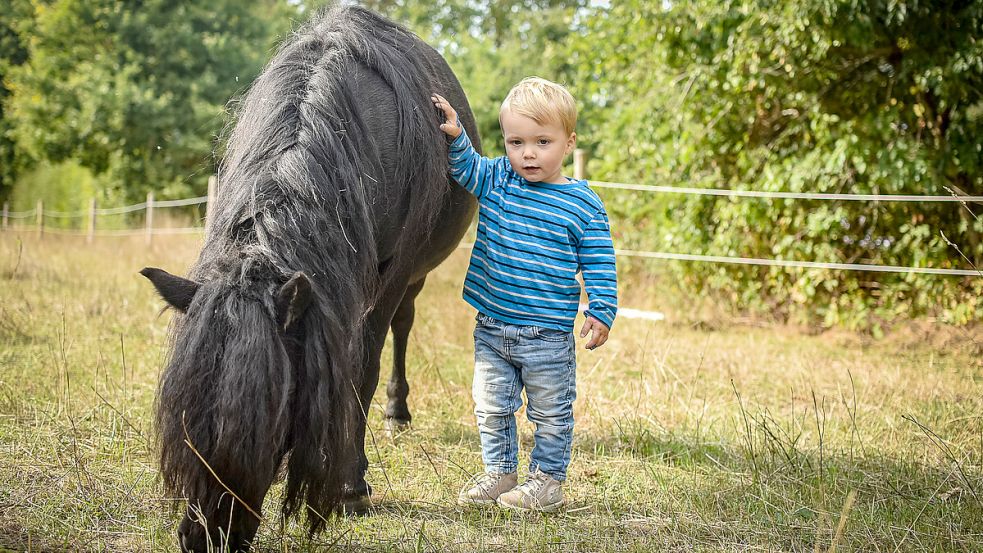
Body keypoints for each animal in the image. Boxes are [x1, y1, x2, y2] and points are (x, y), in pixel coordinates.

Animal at [143, 6, 480, 548]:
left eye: (270, 417)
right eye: (181, 421)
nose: (205, 537)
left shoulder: (390, 278)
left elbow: (361, 368)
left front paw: (350, 488)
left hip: (413, 278)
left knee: (403, 328)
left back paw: (397, 413)